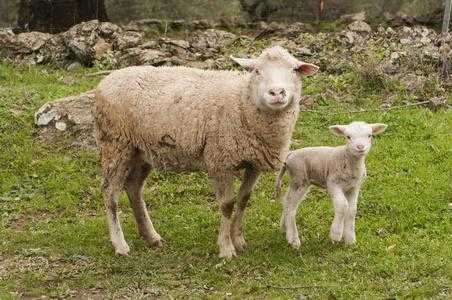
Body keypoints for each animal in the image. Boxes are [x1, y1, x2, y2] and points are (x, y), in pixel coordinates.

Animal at [92, 45, 318, 258]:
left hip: (140, 151)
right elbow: (227, 205)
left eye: (294, 70)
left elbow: (244, 200)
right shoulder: (220, 160)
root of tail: (105, 82)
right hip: (116, 144)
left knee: (133, 188)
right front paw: (226, 248)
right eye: (257, 71)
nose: (277, 92)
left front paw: (238, 240)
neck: (242, 102)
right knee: (110, 192)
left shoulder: (253, 163)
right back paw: (120, 244)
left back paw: (151, 236)